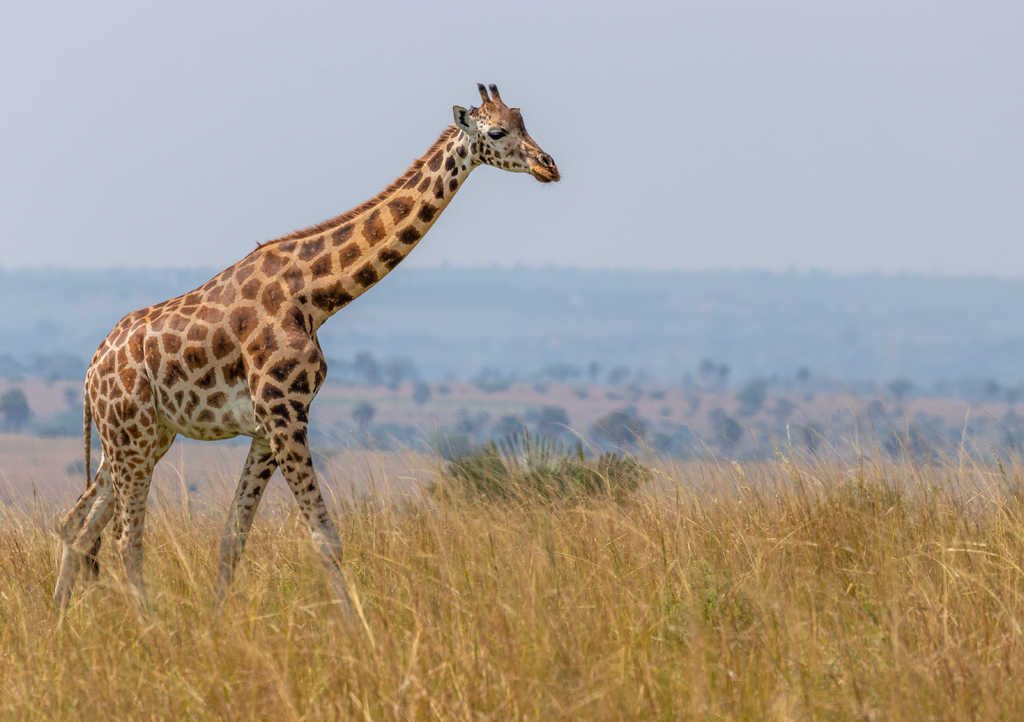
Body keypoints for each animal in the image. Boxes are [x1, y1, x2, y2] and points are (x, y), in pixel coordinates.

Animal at [53, 84, 559, 614]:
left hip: (141, 438)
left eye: (522, 120)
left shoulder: (265, 428)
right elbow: (325, 537)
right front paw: (357, 627)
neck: (315, 296)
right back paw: (147, 624)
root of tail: (90, 372)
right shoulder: (285, 413)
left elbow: (233, 538)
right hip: (130, 436)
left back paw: (60, 620)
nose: (549, 165)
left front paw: (218, 621)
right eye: (497, 131)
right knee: (123, 537)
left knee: (77, 525)